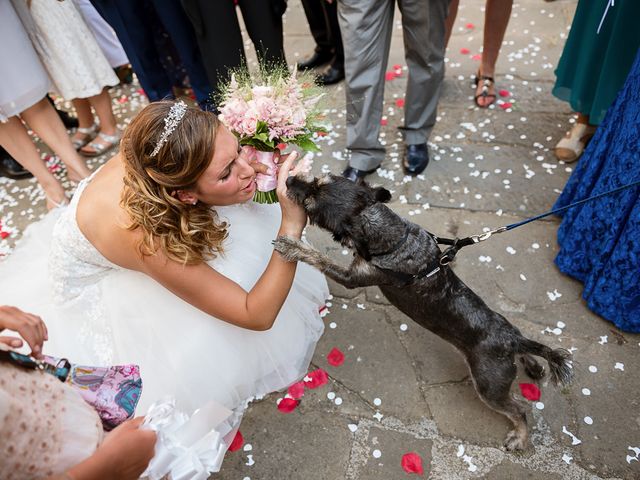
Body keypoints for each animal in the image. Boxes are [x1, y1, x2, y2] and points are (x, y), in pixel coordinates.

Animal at [272, 174, 572, 452]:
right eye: (317, 178)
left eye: (309, 204)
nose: (289, 180)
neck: (393, 237)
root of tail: (510, 340)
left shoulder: (352, 278)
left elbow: (319, 258)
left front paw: (292, 246)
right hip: (509, 336)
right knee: (524, 347)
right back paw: (533, 364)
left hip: (489, 386)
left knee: (519, 409)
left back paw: (520, 437)